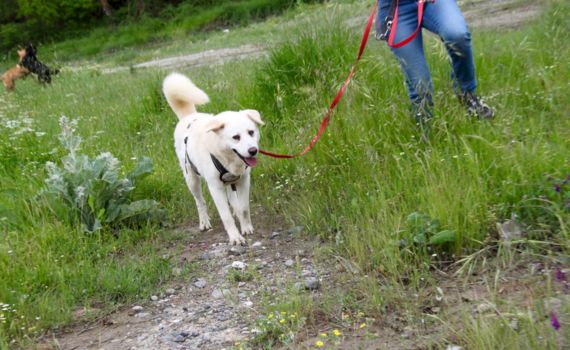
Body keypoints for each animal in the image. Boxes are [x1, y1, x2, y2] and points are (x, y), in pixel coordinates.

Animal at [162, 72, 264, 245]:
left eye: (251, 132)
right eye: (236, 137)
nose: (253, 151)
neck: (226, 157)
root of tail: (188, 116)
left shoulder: (244, 180)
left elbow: (244, 208)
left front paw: (246, 228)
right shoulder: (215, 187)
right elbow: (226, 216)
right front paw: (235, 237)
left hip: (228, 183)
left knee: (233, 200)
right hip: (192, 180)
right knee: (199, 202)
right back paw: (204, 222)